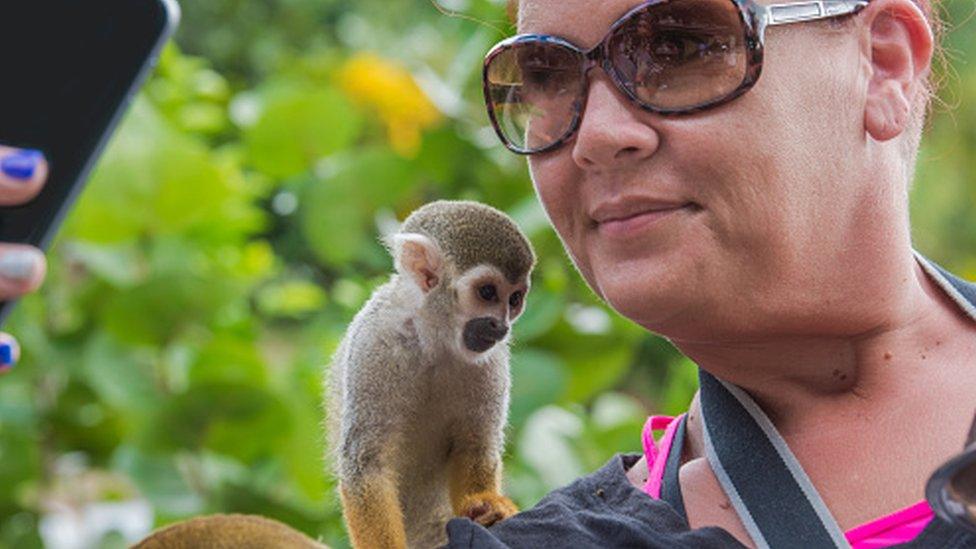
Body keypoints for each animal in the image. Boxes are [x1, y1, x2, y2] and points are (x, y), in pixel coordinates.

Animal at [326, 200, 536, 548]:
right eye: (488, 292)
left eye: (515, 299)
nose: (501, 326)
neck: (435, 339)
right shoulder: (374, 341)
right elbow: (367, 463)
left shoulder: (491, 360)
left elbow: (474, 444)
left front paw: (488, 508)